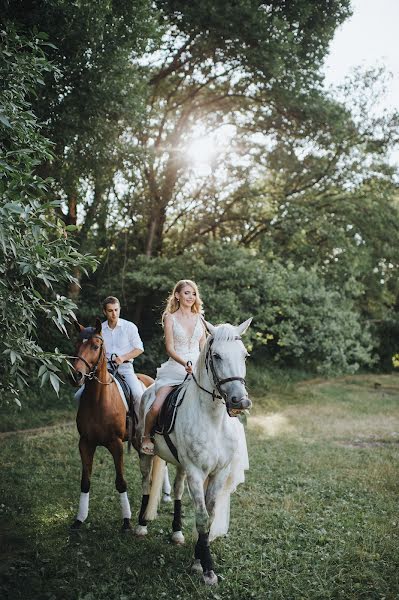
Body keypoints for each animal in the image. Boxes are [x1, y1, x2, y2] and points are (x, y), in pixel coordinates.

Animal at [69, 318, 152, 528]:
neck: (98, 400)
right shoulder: (85, 443)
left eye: (95, 346)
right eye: (76, 344)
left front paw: (126, 521)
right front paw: (79, 519)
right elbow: (85, 481)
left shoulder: (116, 445)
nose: (76, 376)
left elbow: (121, 482)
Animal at [136, 318, 252, 584]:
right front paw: (207, 568)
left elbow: (210, 515)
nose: (240, 401)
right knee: (146, 483)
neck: (213, 419)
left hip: (181, 466)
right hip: (146, 454)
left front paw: (199, 558)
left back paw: (177, 533)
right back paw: (140, 526)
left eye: (244, 355)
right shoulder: (197, 473)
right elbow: (201, 517)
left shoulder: (218, 472)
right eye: (217, 356)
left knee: (178, 490)